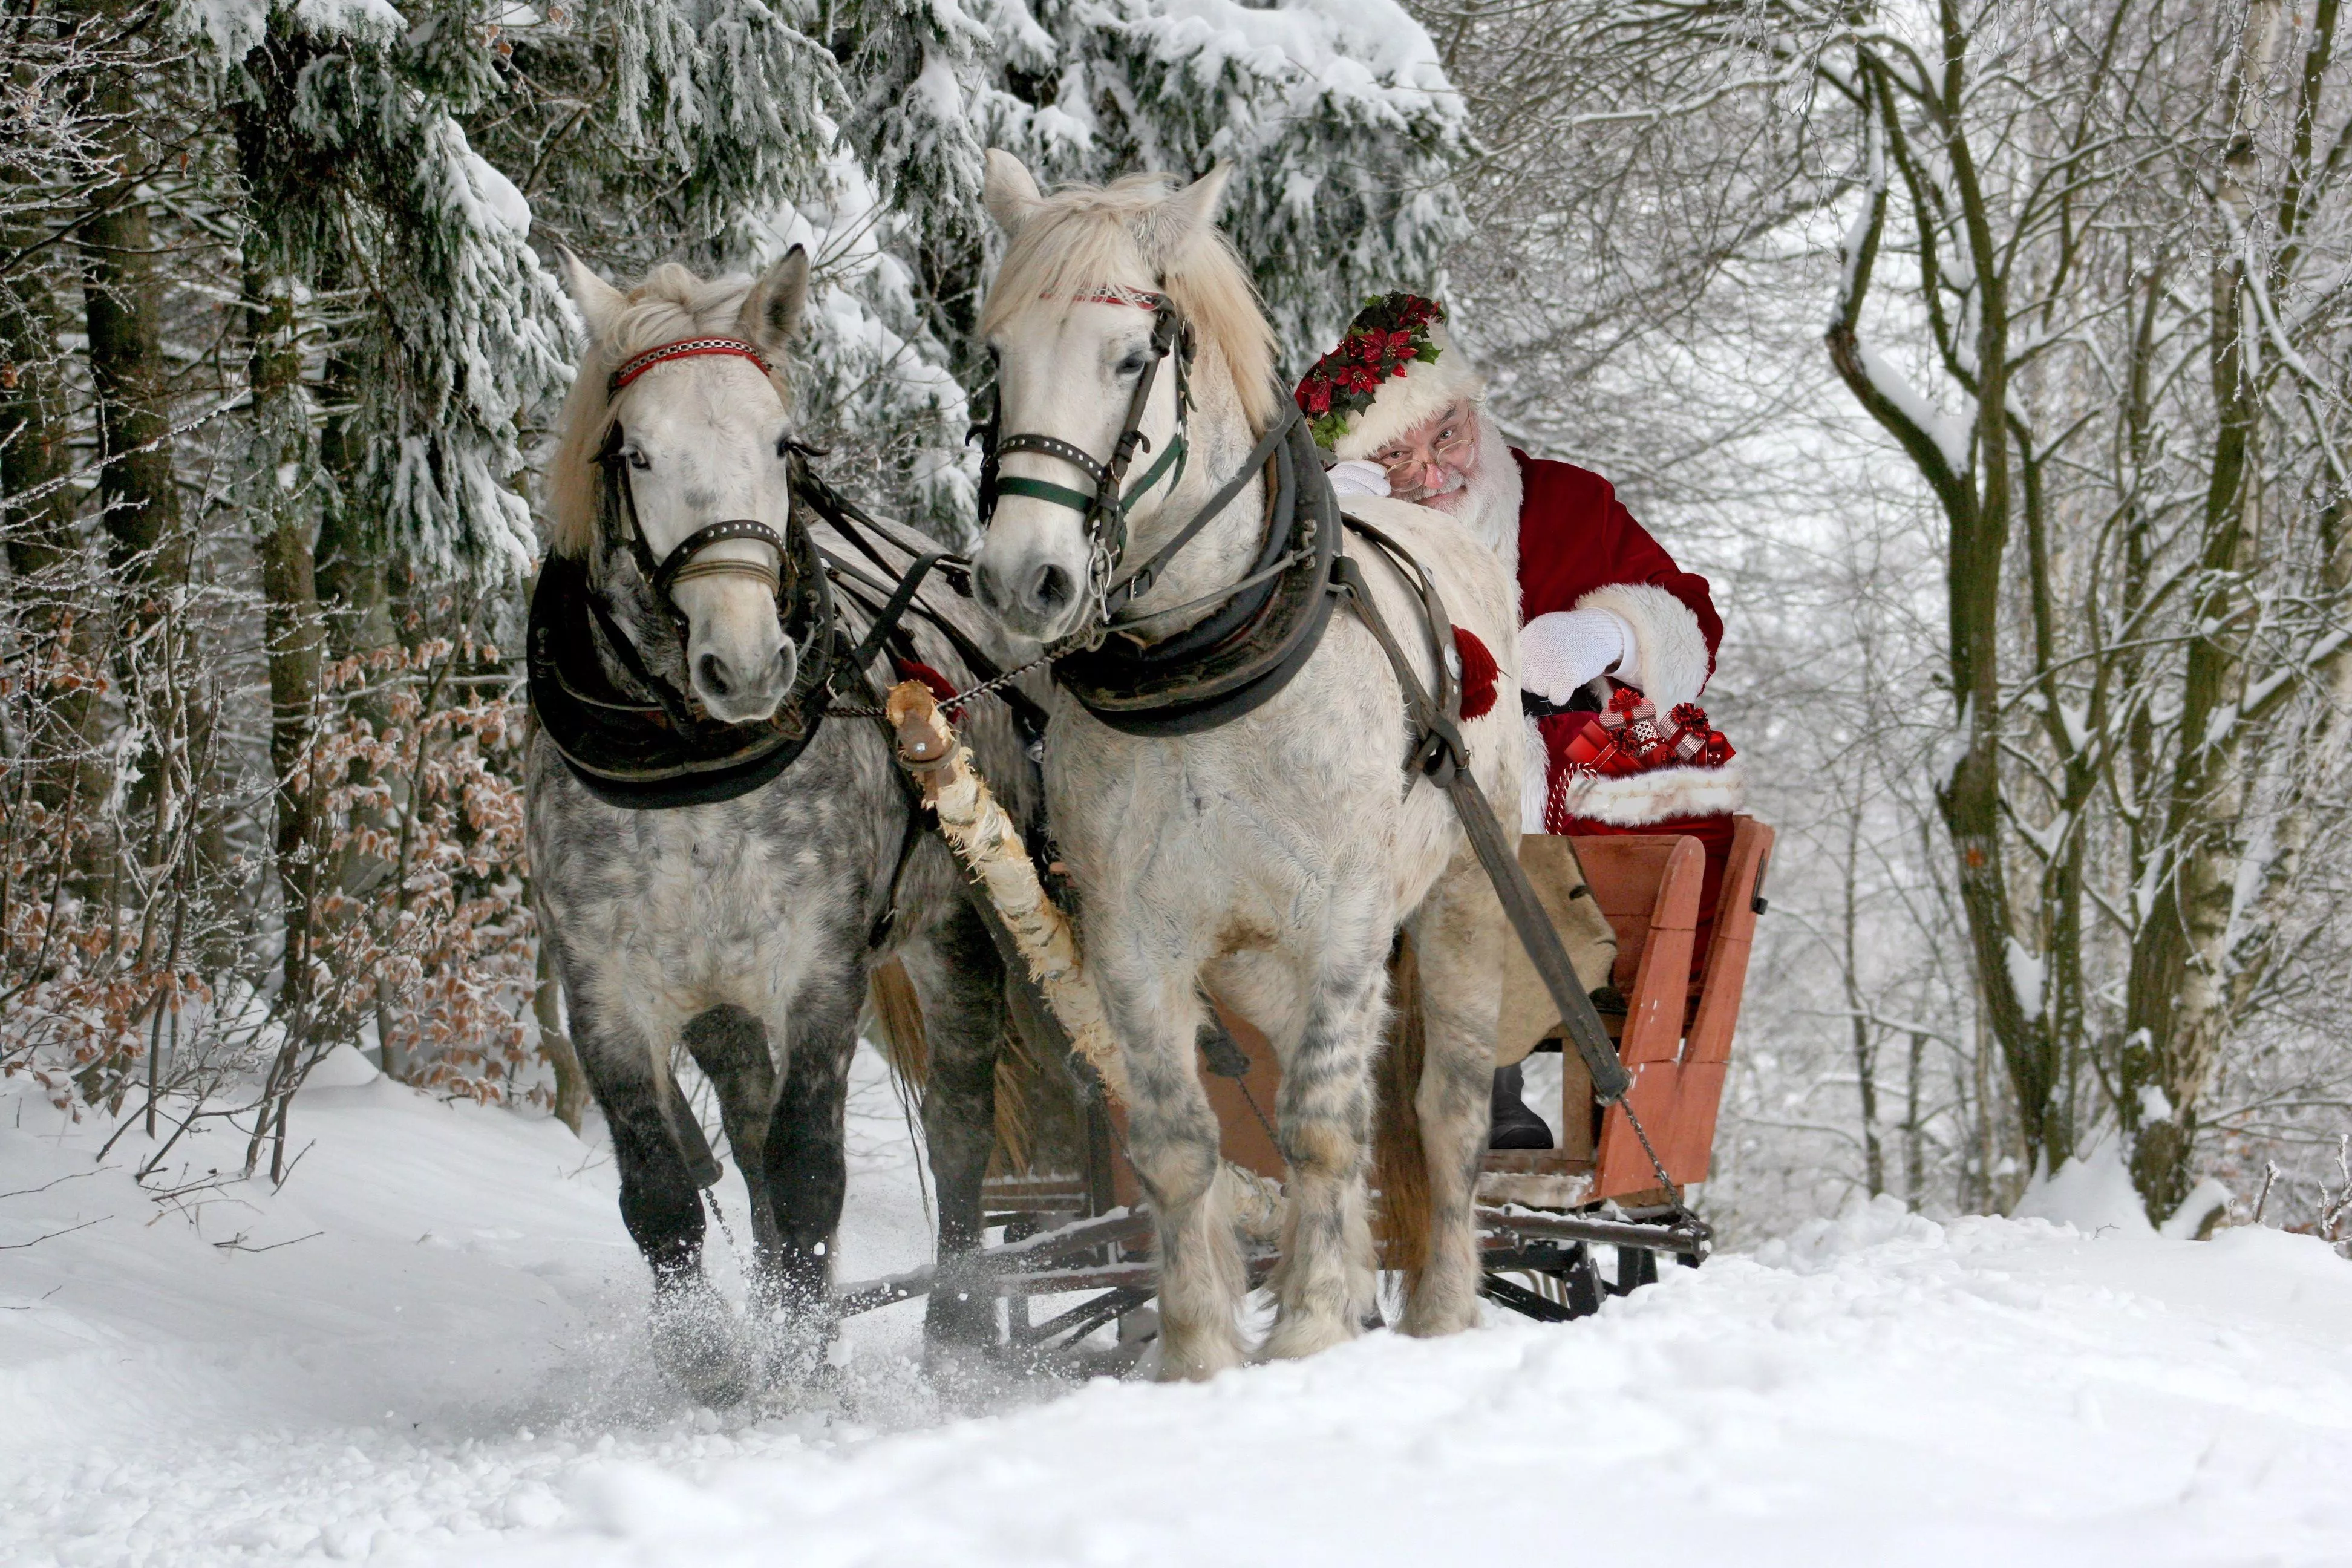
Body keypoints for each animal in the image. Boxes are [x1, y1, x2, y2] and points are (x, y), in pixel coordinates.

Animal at [527, 250, 1037, 1404]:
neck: (690, 764)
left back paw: (954, 1328)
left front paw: (806, 1368)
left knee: (958, 1128)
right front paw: (713, 1355)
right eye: (638, 451)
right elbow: (662, 1189)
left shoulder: (817, 970)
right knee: (749, 1134)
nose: (751, 663)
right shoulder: (606, 990)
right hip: (720, 1001)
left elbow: (812, 1174)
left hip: (959, 934)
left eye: (778, 443)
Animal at [966, 153, 1521, 1378]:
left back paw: (1442, 1309)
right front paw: (1199, 1351)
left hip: (1462, 906)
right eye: (998, 356)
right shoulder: (1134, 938)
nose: (1024, 579)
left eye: (1131, 358)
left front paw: (1309, 1328)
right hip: (1260, 962)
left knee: (1442, 1110)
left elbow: (1319, 1124)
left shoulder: (1348, 920)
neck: (1206, 668)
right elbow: (1181, 1142)